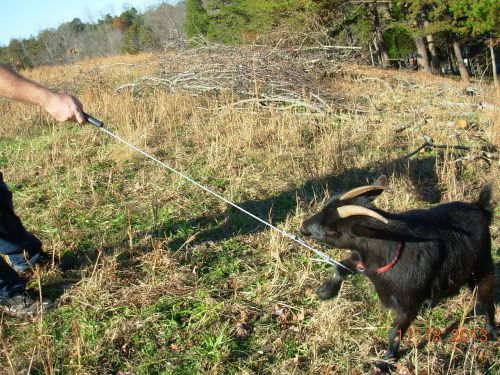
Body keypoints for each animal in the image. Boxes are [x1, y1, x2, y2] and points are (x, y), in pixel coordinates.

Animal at [298, 178, 498, 362]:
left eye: (331, 230)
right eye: (324, 206)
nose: (303, 228)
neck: (392, 246)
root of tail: (480, 208)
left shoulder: (407, 305)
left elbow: (396, 331)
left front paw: (387, 358)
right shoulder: (362, 261)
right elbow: (341, 268)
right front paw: (326, 291)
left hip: (483, 269)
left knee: (486, 301)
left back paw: (491, 332)